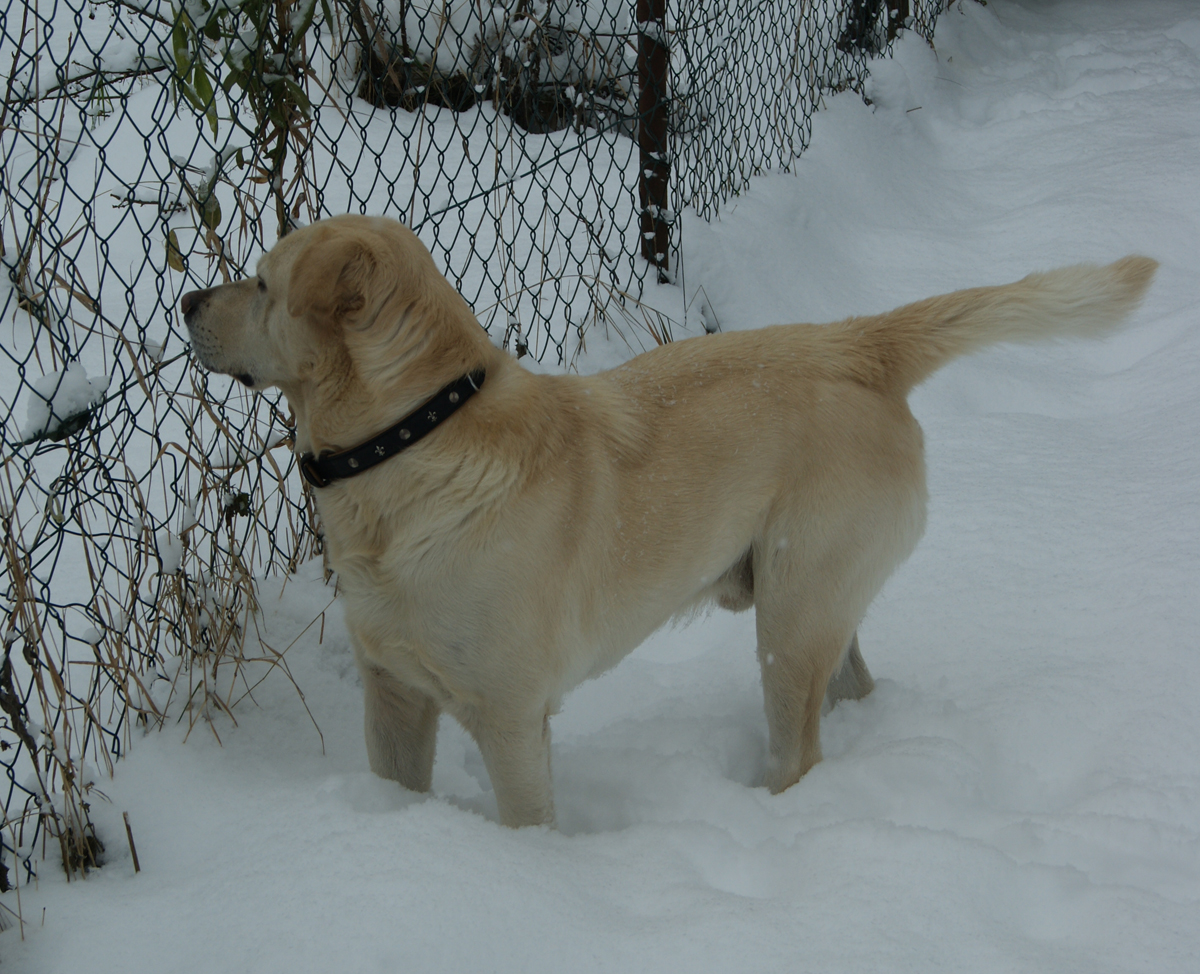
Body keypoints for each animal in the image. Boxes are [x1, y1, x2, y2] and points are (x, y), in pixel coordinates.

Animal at [182, 217, 1156, 825]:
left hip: (789, 620)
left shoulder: (509, 717)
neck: (416, 439)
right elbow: (396, 785)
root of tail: (857, 342)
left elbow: (526, 823)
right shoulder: (393, 695)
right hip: (817, 605)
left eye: (261, 284)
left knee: (799, 753)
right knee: (853, 687)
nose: (188, 300)